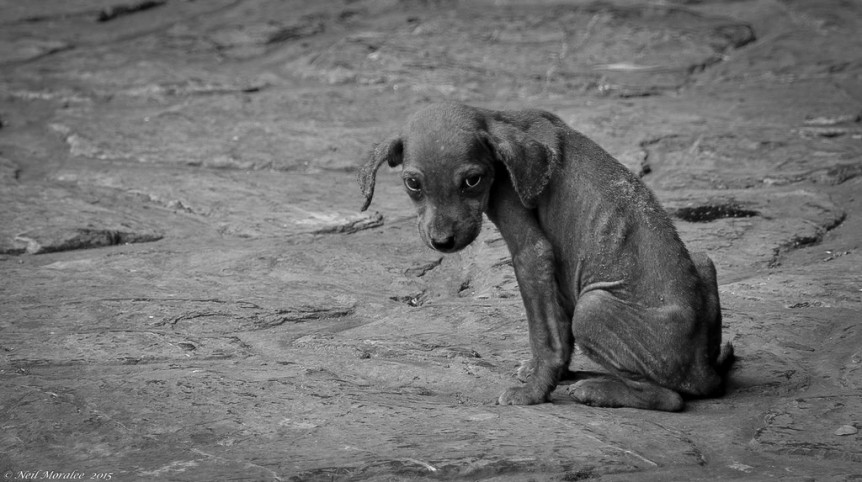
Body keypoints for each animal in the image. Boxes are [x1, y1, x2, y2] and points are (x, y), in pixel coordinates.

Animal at [358, 101, 736, 410]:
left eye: (472, 180)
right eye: (413, 184)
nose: (443, 242)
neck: (500, 119)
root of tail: (705, 372)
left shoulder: (531, 251)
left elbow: (544, 335)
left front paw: (534, 392)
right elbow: (557, 328)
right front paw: (551, 373)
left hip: (593, 308)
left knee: (671, 397)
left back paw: (598, 390)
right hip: (701, 260)